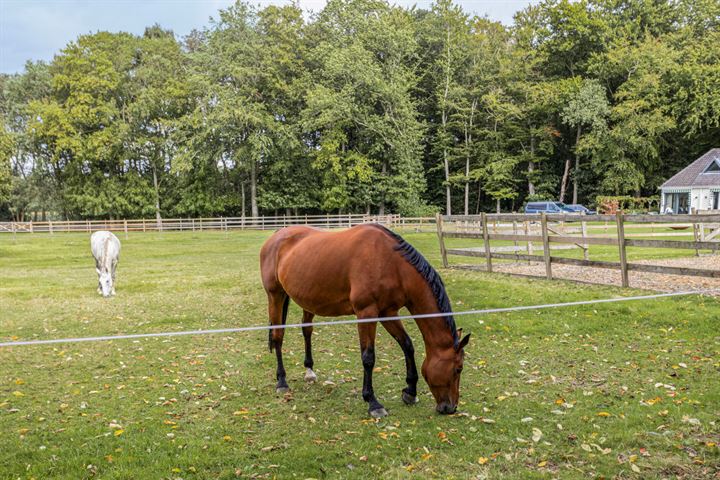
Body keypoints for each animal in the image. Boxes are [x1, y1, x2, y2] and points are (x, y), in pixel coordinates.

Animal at [262, 224, 470, 416]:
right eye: (458, 369)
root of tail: (276, 236)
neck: (392, 263)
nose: (451, 408)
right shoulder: (366, 313)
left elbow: (407, 345)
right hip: (275, 296)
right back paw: (282, 381)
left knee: (306, 330)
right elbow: (368, 357)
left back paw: (309, 372)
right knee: (278, 336)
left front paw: (410, 392)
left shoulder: (388, 312)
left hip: (308, 300)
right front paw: (373, 402)